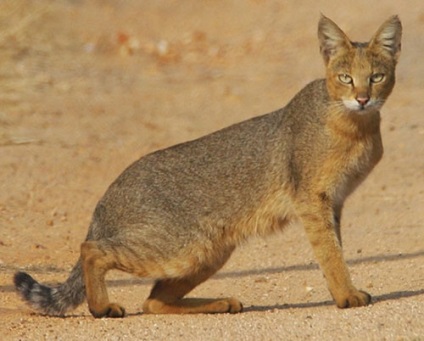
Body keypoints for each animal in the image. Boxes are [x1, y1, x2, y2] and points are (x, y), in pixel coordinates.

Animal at [14, 13, 402, 316]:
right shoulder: (312, 199)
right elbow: (330, 253)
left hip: (207, 254)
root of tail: (108, 193)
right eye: (345, 77)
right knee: (92, 251)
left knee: (152, 301)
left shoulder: (334, 201)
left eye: (377, 77)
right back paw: (102, 307)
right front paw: (346, 296)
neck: (355, 128)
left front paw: (345, 291)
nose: (363, 98)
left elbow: (335, 249)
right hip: (181, 248)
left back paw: (220, 303)